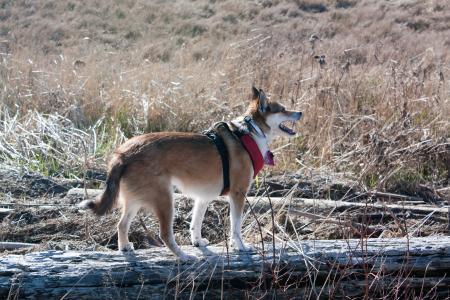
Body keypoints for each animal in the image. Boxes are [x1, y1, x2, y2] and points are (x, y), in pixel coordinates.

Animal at [81, 86, 302, 260]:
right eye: (283, 109)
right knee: (164, 234)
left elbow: (196, 223)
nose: (299, 112)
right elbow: (236, 226)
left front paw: (198, 242)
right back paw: (183, 256)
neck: (249, 132)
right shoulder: (238, 194)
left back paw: (125, 247)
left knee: (121, 224)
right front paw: (240, 246)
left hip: (135, 201)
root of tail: (123, 153)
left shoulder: (203, 198)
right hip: (165, 200)